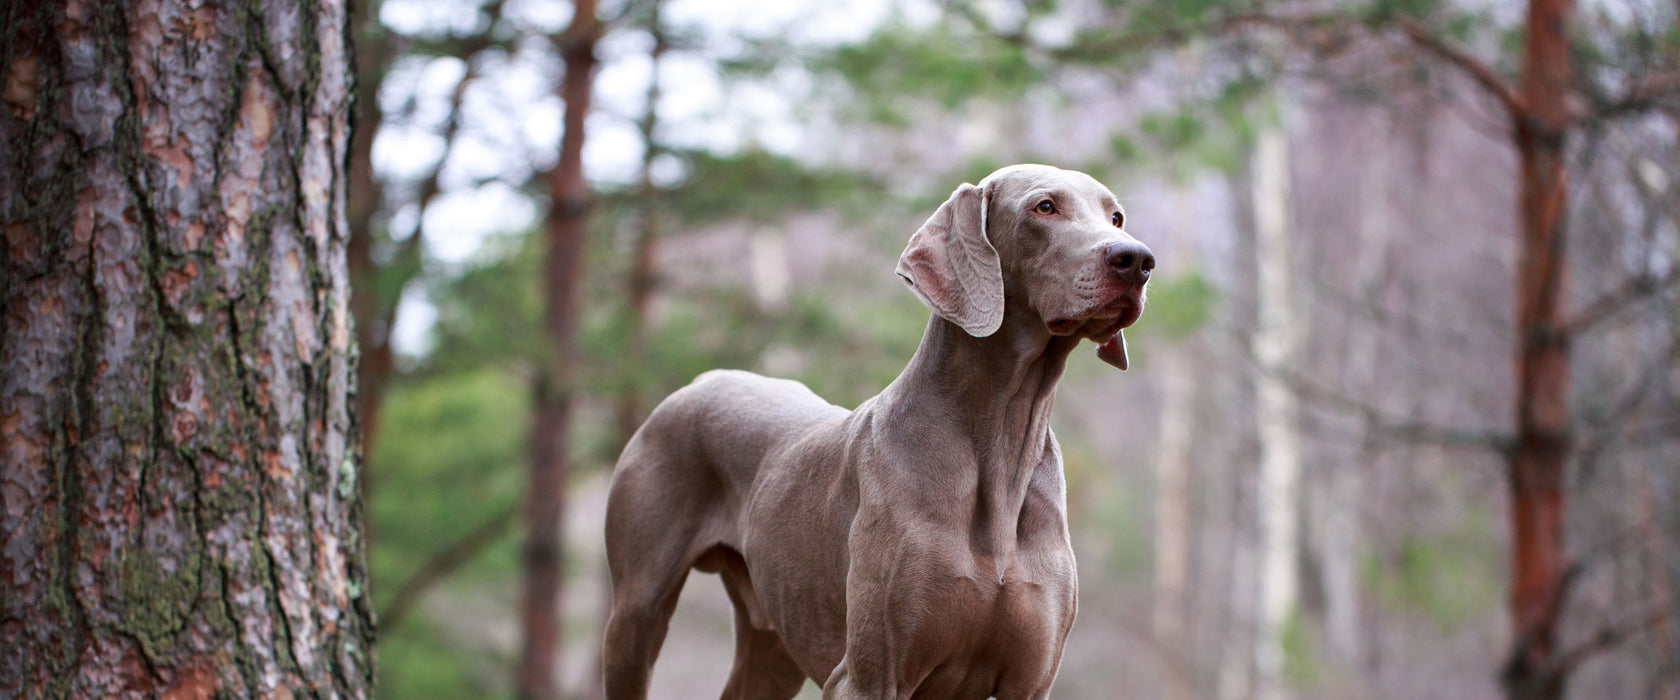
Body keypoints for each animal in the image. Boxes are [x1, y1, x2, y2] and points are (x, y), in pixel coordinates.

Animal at [604, 163, 1155, 698]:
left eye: (1116, 217)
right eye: (1044, 207)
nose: (1138, 260)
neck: (1003, 443)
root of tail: (700, 380)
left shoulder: (1031, 681)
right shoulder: (868, 676)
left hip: (774, 640)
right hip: (636, 615)